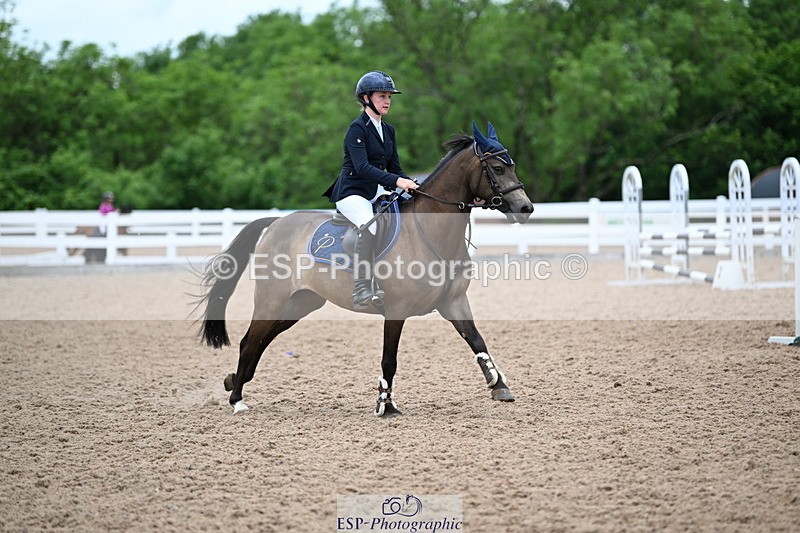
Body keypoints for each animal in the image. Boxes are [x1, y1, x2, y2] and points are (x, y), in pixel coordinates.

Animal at [195, 122, 534, 416]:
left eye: (514, 166)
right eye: (498, 168)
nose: (525, 208)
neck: (429, 232)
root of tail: (277, 222)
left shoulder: (453, 302)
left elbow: (477, 341)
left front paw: (499, 385)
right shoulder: (396, 310)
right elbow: (389, 360)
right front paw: (386, 405)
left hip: (301, 303)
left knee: (262, 340)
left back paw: (233, 382)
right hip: (271, 299)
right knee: (250, 340)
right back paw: (237, 400)